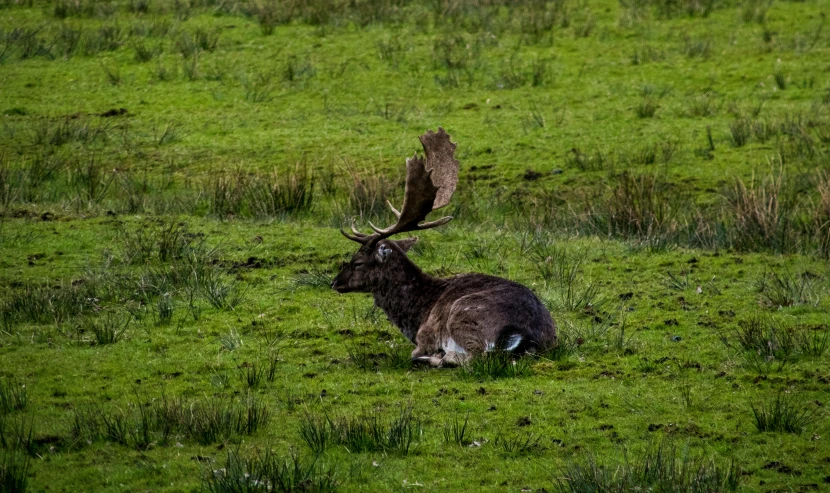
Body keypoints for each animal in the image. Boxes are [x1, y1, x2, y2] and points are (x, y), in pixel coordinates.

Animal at [332, 127, 560, 366]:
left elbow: (416, 352)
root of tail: (526, 335)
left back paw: (439, 358)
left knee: (474, 358)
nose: (334, 282)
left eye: (357, 262)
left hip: (463, 314)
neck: (417, 313)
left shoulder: (425, 336)